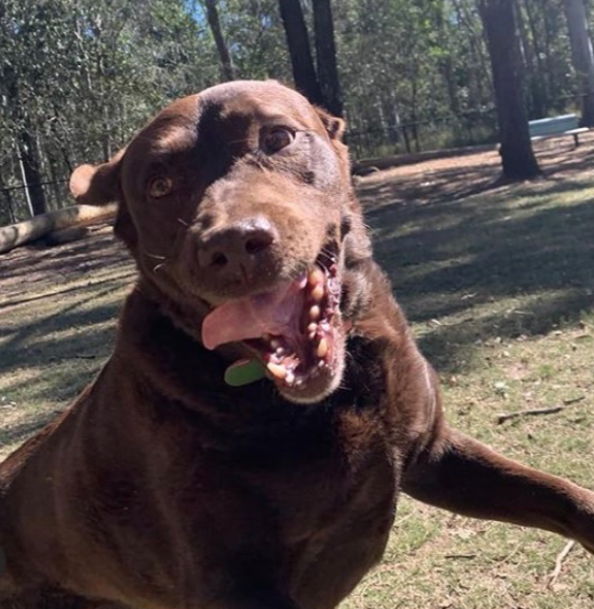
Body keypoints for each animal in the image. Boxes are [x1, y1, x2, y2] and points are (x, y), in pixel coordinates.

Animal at [1, 82, 592, 608]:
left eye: (278, 137)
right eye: (160, 185)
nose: (232, 244)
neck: (330, 394)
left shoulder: (435, 456)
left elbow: (566, 496)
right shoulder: (233, 585)